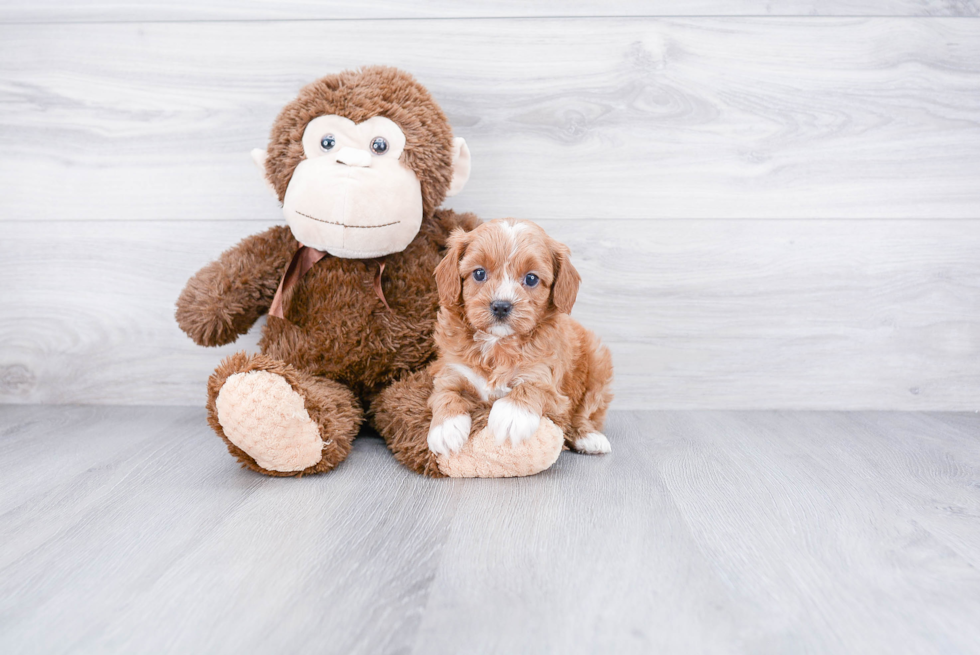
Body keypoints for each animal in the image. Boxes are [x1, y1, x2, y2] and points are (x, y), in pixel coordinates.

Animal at [426, 218, 612, 458]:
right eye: (479, 273)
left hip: (598, 365)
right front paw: (445, 428)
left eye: (531, 279)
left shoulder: (548, 379)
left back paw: (588, 437)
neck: (497, 344)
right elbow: (445, 392)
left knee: (585, 412)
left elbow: (533, 386)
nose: (501, 305)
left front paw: (512, 415)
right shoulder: (450, 368)